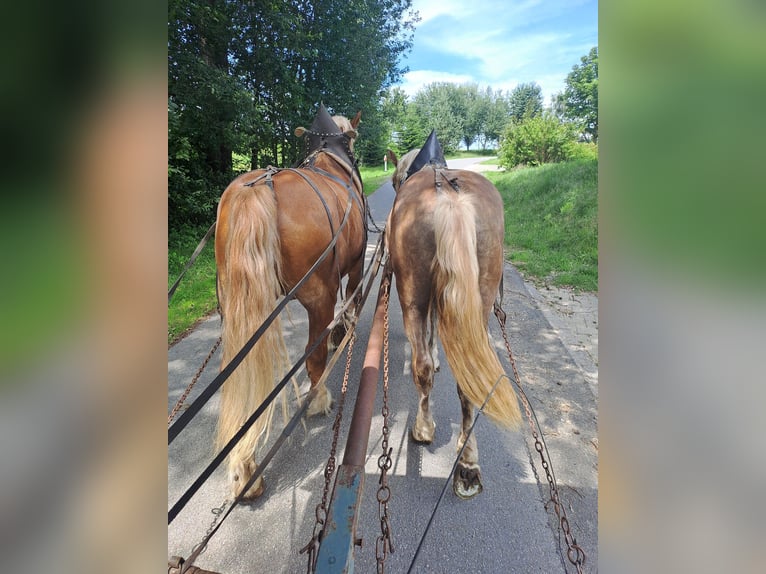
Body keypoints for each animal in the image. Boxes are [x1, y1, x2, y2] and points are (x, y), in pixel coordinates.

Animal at [214, 107, 368, 500]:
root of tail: (254, 189)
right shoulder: (356, 263)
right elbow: (352, 298)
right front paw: (344, 332)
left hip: (236, 306)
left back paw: (243, 466)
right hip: (316, 295)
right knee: (314, 357)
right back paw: (319, 398)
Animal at [388, 136, 524, 500]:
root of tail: (450, 198)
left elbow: (431, 336)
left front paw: (435, 359)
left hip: (412, 297)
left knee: (421, 366)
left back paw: (423, 430)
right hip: (480, 298)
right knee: (468, 378)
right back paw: (468, 464)